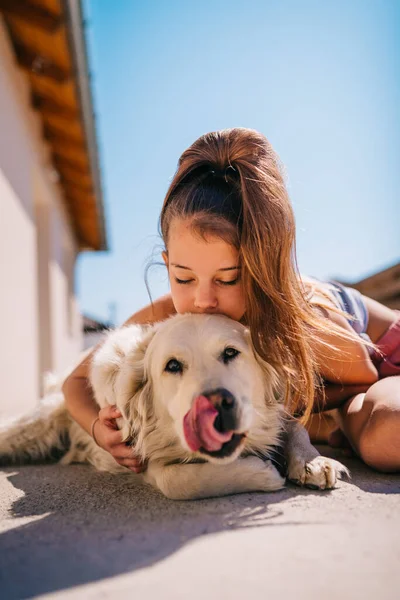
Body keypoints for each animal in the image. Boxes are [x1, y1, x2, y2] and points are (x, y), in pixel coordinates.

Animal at [0, 312, 346, 500]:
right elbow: (180, 482)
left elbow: (296, 428)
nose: (218, 405)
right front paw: (264, 474)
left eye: (230, 353)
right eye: (173, 366)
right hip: (35, 423)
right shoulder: (143, 458)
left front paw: (314, 462)